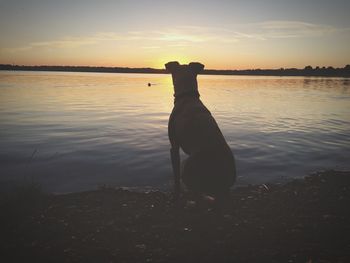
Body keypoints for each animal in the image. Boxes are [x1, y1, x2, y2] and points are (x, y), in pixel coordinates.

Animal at [165, 60, 237, 203]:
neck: (187, 96)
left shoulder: (174, 146)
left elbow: (176, 177)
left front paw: (176, 195)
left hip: (187, 165)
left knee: (195, 190)